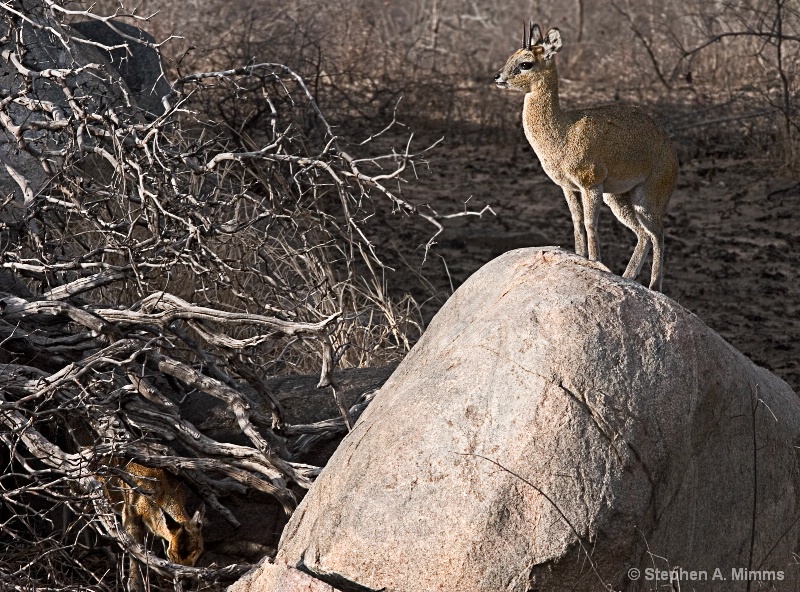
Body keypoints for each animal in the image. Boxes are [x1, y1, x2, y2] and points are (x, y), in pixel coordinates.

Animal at [100, 460, 205, 588]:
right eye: (172, 555)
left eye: (197, 553)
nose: (187, 584)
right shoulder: (130, 510)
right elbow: (134, 547)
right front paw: (135, 585)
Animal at [496, 23, 680, 292]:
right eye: (512, 56)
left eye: (525, 63)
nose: (498, 77)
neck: (563, 131)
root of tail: (672, 151)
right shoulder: (568, 187)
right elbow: (576, 219)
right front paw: (580, 256)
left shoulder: (590, 184)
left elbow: (590, 222)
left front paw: (595, 262)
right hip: (618, 197)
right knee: (644, 234)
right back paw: (627, 277)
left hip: (647, 198)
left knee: (658, 233)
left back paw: (654, 285)